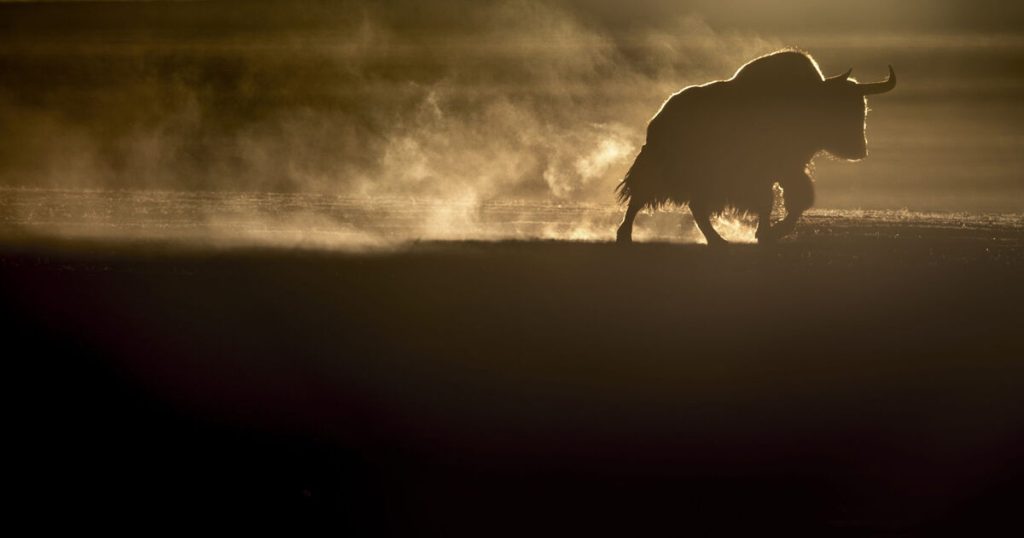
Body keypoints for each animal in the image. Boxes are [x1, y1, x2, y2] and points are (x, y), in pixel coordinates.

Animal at [614, 49, 897, 242]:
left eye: (862, 109)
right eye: (838, 108)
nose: (859, 150)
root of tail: (659, 116)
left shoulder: (787, 169)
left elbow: (798, 199)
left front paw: (772, 232)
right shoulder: (767, 172)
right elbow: (771, 201)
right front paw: (768, 233)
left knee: (694, 206)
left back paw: (718, 241)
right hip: (665, 172)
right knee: (641, 197)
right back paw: (624, 235)